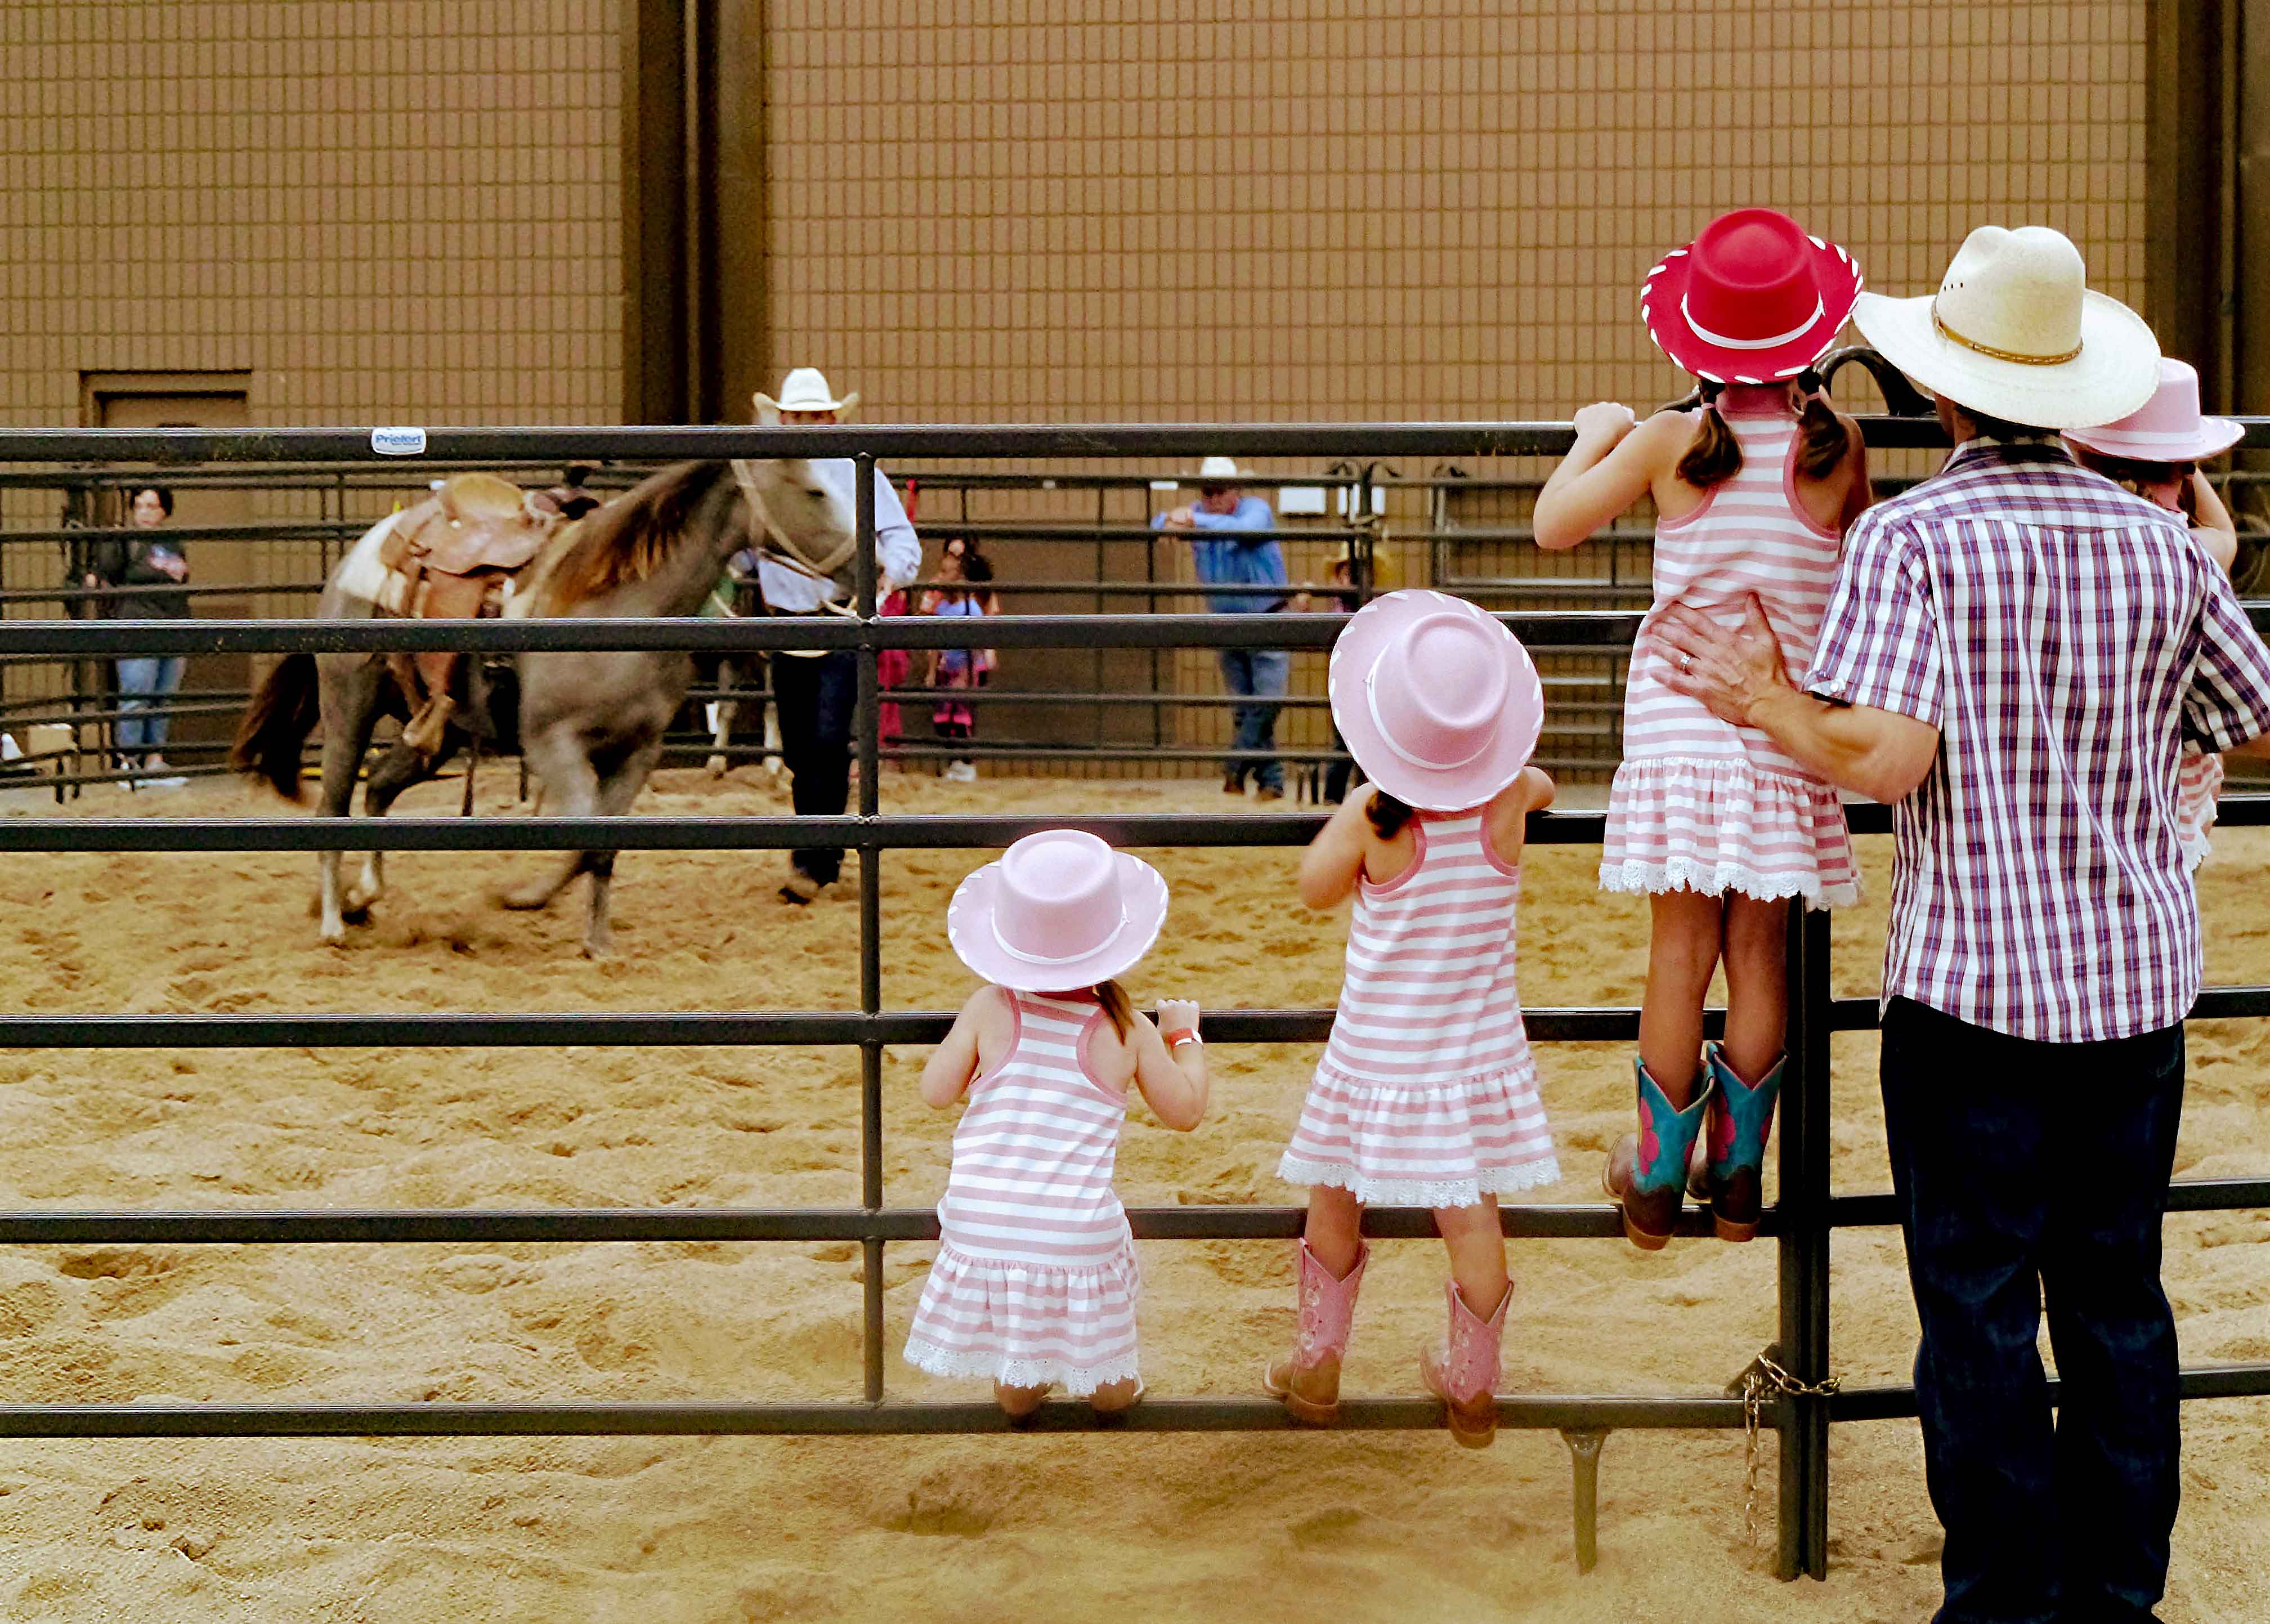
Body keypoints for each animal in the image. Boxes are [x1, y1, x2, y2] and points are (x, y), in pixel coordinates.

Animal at [232, 461, 853, 954]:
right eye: (814, 490)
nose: (857, 563)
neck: (618, 607)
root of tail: (357, 557)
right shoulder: (554, 743)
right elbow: (582, 834)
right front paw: (517, 896)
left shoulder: (636, 753)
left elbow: (603, 846)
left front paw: (598, 943)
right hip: (349, 705)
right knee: (334, 804)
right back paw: (333, 921)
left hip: (440, 730)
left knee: (380, 786)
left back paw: (364, 896)